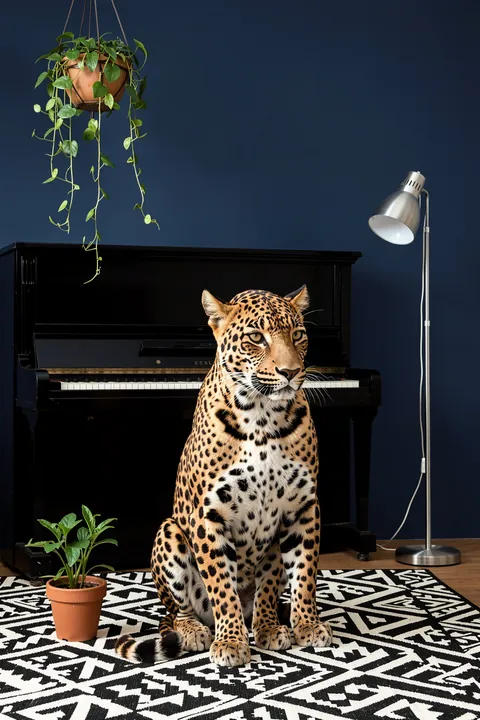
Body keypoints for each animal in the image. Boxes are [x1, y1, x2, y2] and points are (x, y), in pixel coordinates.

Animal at [115, 284, 332, 667]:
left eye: (298, 335)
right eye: (256, 338)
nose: (291, 372)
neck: (263, 417)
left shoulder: (302, 507)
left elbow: (304, 572)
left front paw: (305, 625)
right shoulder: (209, 514)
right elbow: (221, 585)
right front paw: (230, 641)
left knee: (265, 592)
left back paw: (267, 624)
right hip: (169, 532)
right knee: (178, 612)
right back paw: (196, 631)